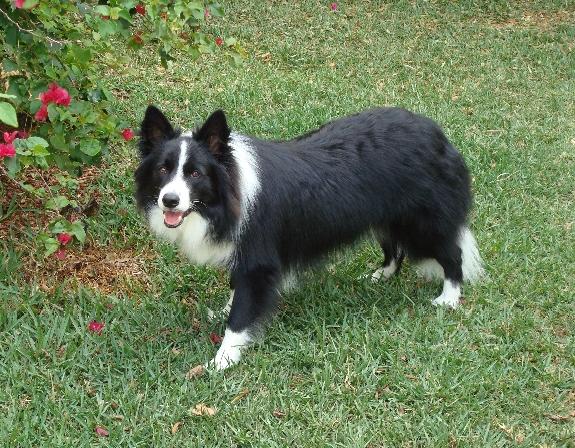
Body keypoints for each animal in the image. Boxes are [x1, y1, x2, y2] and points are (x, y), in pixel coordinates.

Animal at [134, 107, 482, 370]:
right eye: (163, 169)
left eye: (195, 173)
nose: (169, 201)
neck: (229, 188)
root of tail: (435, 132)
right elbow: (237, 288)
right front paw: (224, 312)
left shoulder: (259, 258)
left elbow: (241, 314)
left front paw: (223, 359)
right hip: (387, 214)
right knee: (394, 248)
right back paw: (381, 275)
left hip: (422, 220)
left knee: (452, 253)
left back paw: (449, 298)